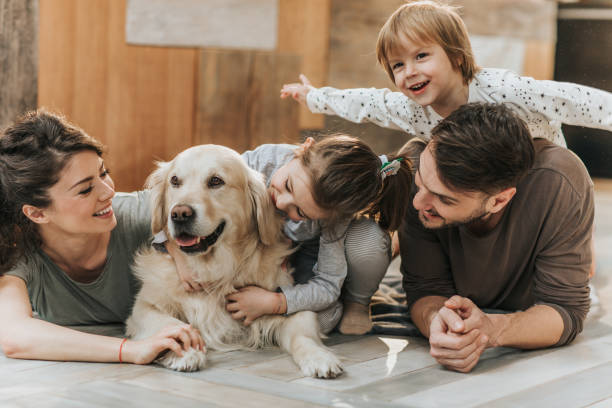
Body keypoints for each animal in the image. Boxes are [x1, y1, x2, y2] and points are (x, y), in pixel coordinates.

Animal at [126, 145, 342, 378]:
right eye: (174, 180)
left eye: (216, 181)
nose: (180, 214)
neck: (214, 269)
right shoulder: (143, 307)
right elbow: (170, 323)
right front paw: (185, 350)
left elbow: (303, 332)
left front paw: (320, 357)